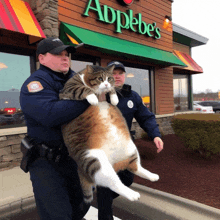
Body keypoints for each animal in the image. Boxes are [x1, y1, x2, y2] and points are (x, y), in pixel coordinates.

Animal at [58, 65, 158, 203]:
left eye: (110, 78)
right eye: (100, 79)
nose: (105, 84)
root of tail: (115, 163)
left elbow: (113, 90)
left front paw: (114, 98)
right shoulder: (68, 89)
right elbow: (82, 88)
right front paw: (93, 98)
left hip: (131, 149)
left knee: (136, 167)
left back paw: (152, 176)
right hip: (94, 160)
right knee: (114, 183)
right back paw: (132, 194)